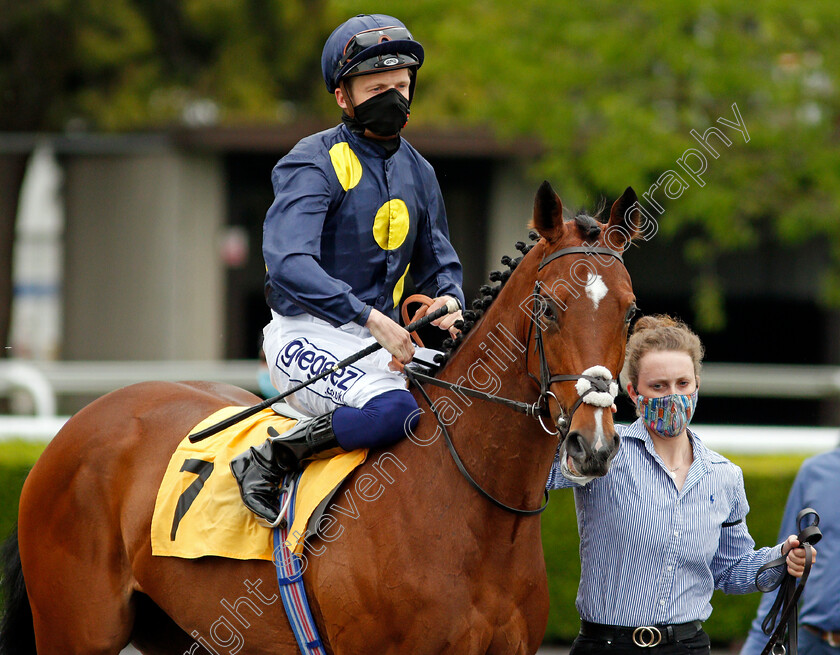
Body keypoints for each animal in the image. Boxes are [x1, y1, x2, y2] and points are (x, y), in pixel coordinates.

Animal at [3, 181, 640, 655]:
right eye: (547, 307)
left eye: (630, 310)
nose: (592, 444)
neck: (472, 515)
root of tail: (77, 426)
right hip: (75, 629)